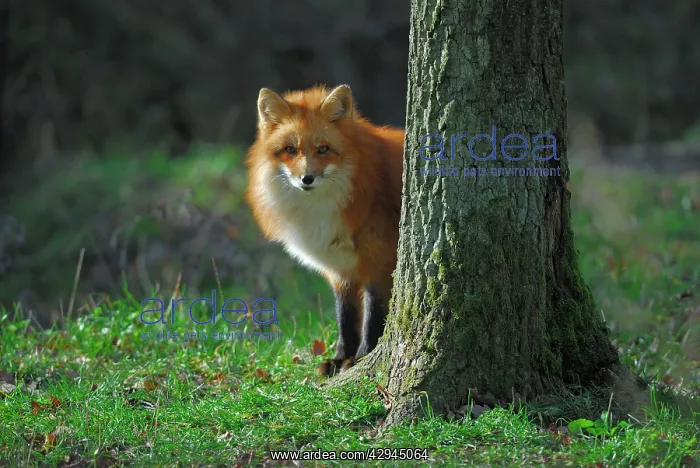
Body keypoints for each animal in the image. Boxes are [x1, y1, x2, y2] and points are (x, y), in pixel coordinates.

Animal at [245, 84, 405, 376]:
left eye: (323, 149)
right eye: (290, 149)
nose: (306, 178)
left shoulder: (379, 261)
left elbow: (373, 315)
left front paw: (362, 357)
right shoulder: (340, 270)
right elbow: (345, 316)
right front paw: (341, 358)